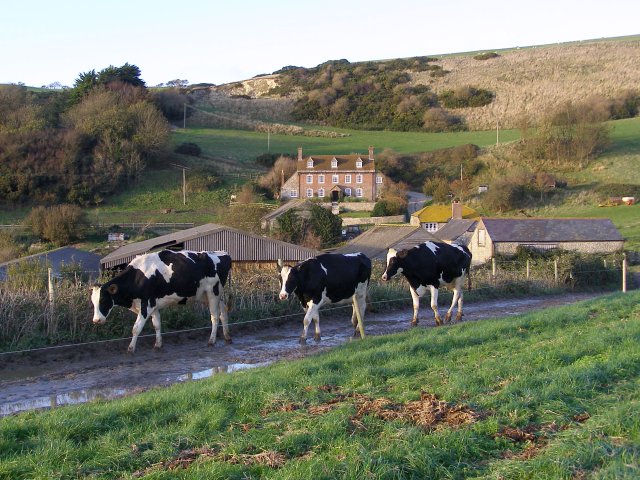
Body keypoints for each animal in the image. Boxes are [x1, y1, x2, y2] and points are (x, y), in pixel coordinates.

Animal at [90, 251, 230, 352]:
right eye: (93, 302)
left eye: (103, 300)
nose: (96, 320)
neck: (137, 277)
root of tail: (222, 253)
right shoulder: (153, 305)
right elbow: (157, 325)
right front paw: (158, 345)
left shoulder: (145, 305)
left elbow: (136, 328)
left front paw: (131, 348)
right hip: (214, 295)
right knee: (223, 312)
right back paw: (227, 336)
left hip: (213, 293)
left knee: (215, 317)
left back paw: (211, 340)